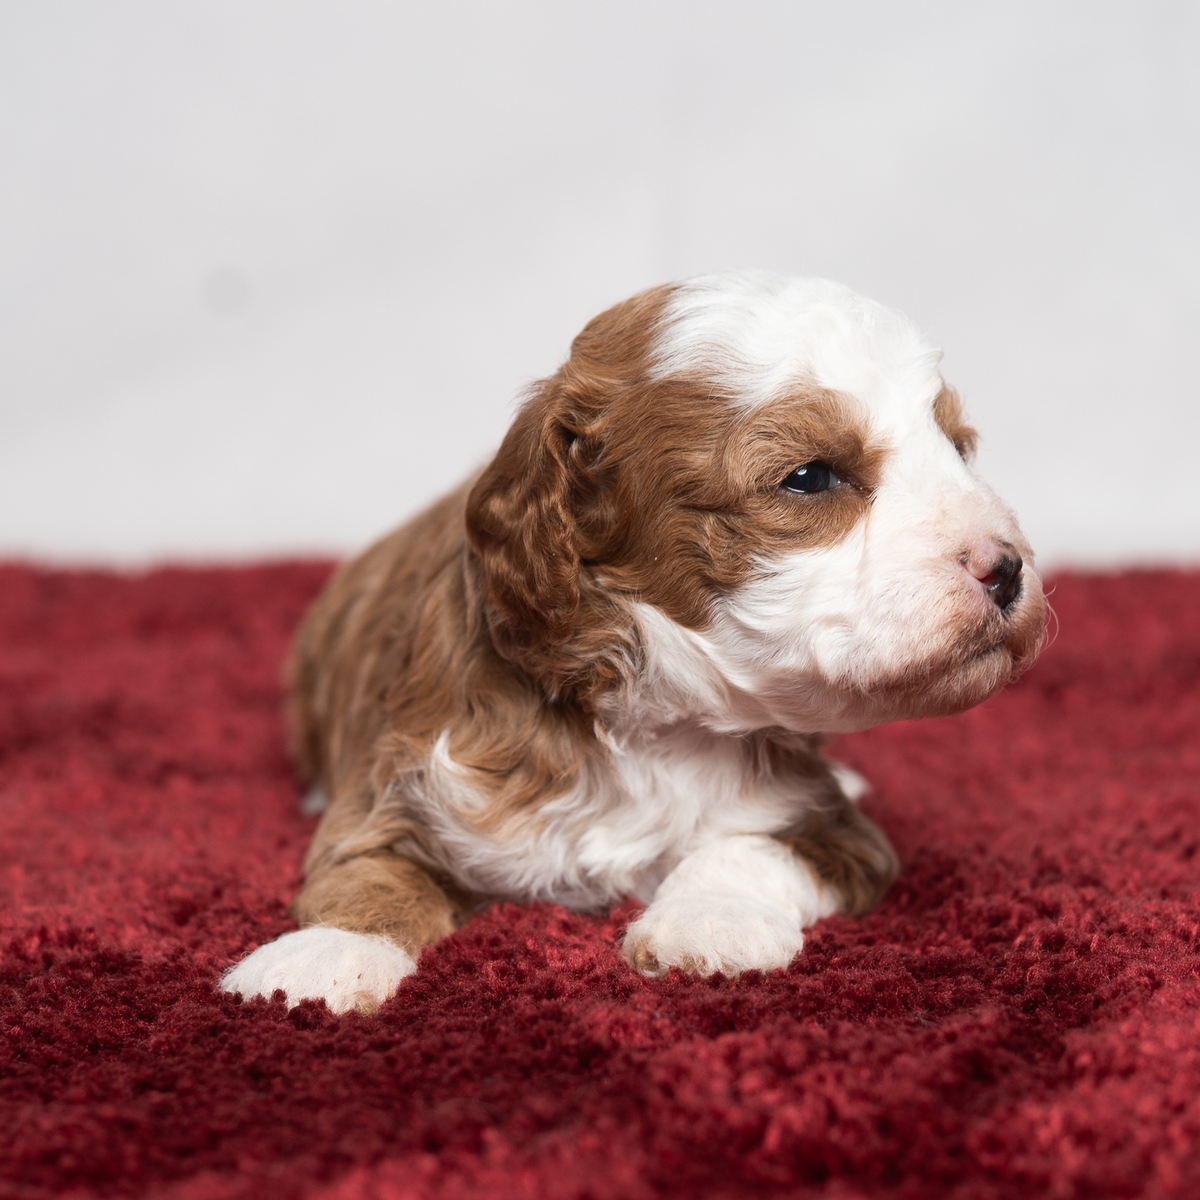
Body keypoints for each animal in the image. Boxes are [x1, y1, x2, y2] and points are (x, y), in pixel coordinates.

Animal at [221, 272, 1046, 1013]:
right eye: (810, 476)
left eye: (960, 450)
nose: (1007, 567)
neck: (657, 725)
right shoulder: (404, 781)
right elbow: (366, 869)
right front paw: (324, 958)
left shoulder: (840, 833)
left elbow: (752, 847)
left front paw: (709, 922)